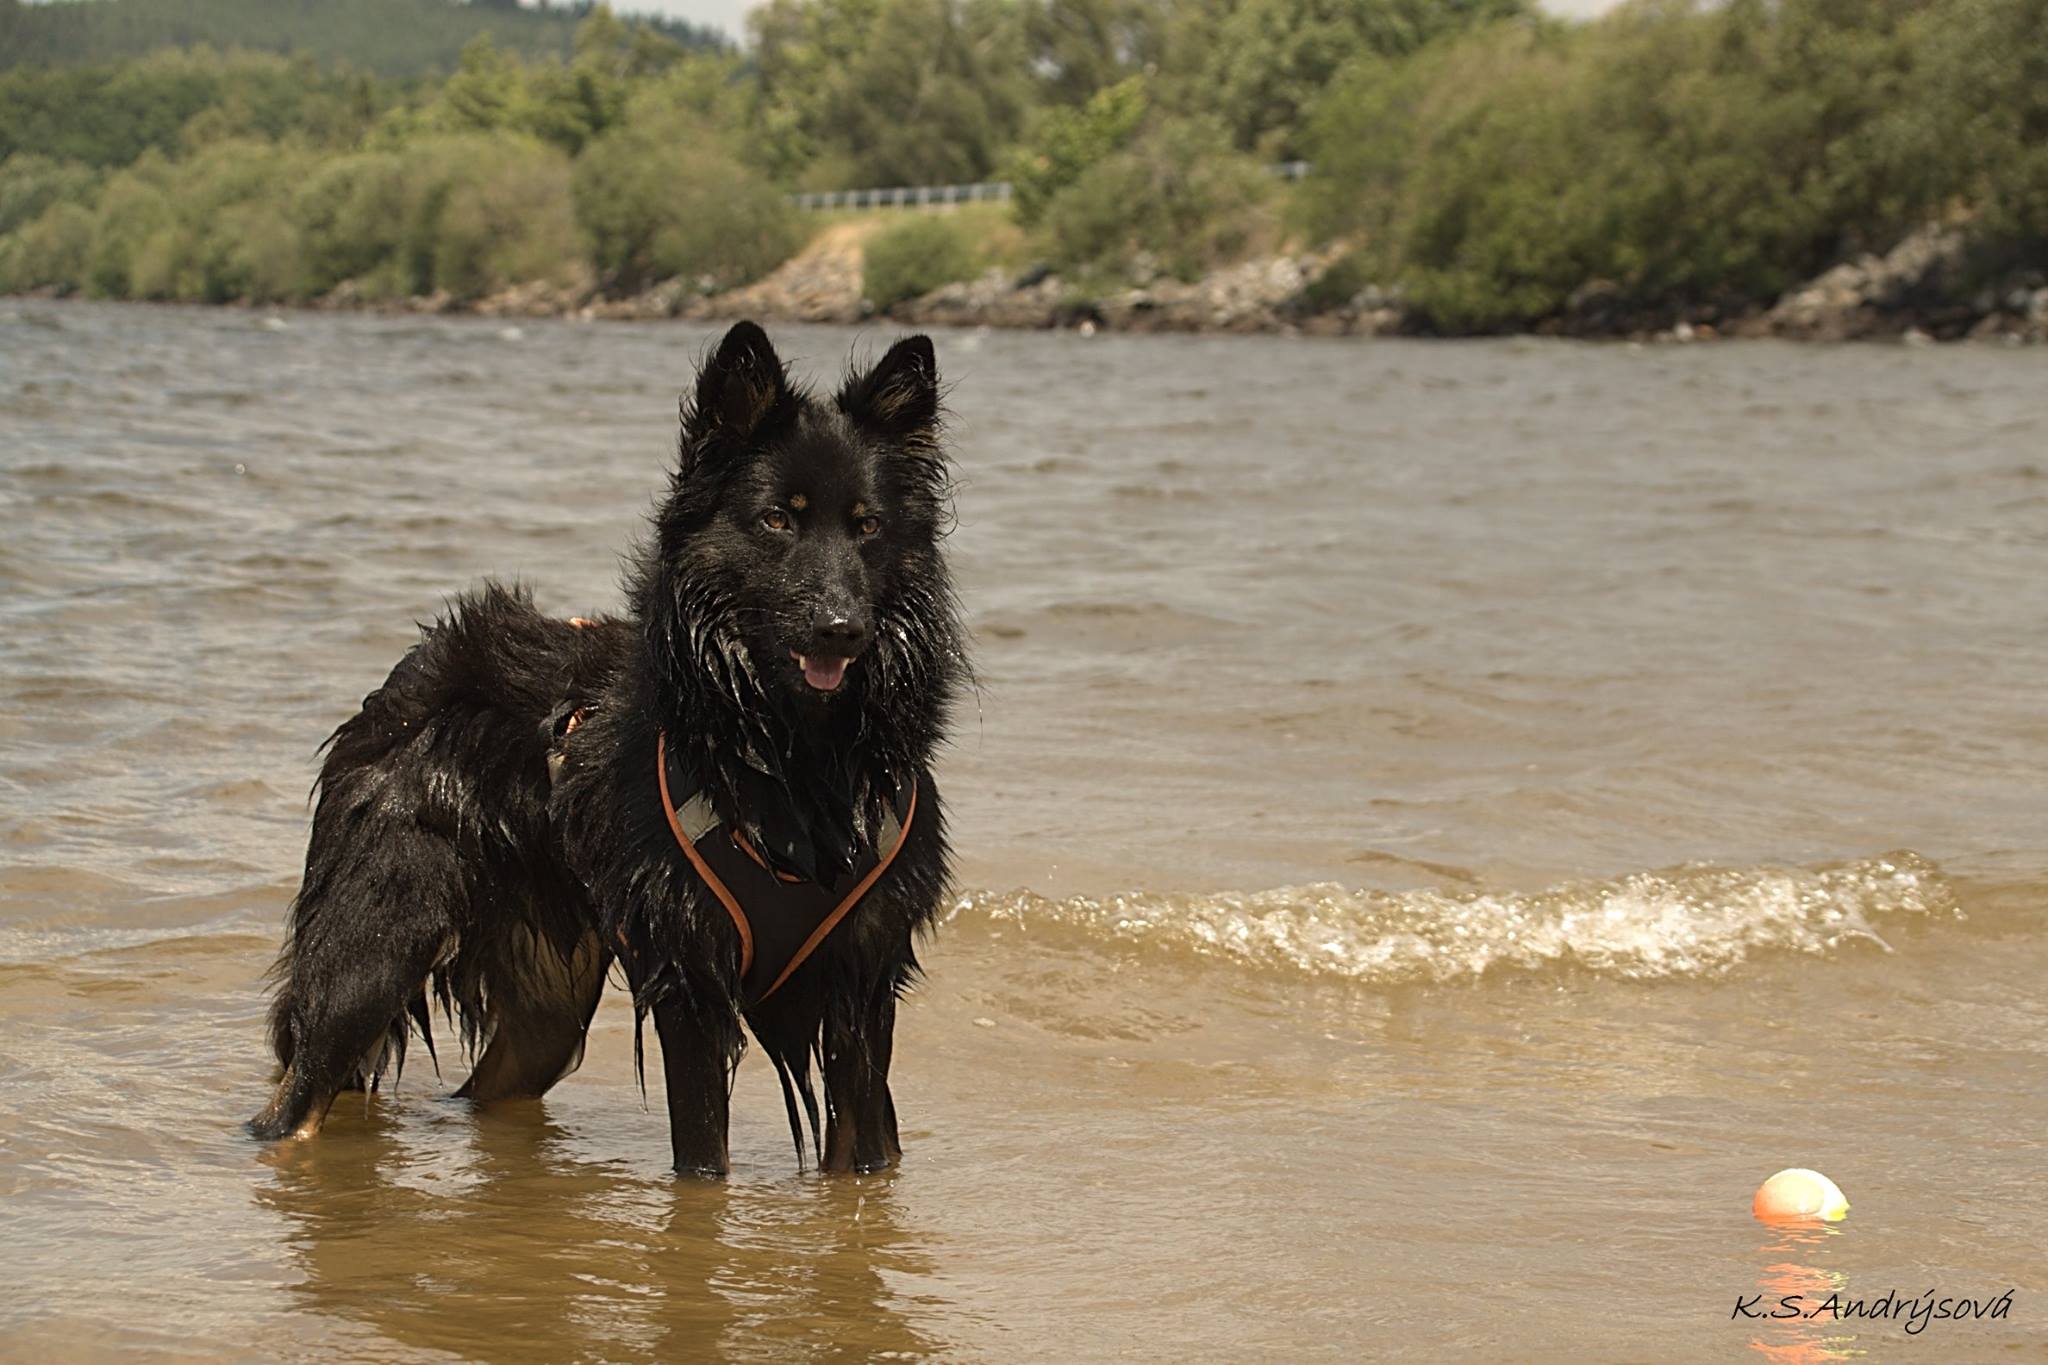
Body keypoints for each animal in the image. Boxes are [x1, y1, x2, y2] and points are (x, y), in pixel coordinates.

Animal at [249, 323, 966, 1178]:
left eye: (867, 526)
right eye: (777, 522)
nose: (841, 629)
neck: (792, 750)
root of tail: (411, 673)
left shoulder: (864, 975)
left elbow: (866, 1153)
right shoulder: (691, 979)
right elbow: (704, 1160)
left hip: (547, 1008)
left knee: (483, 1088)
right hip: (371, 951)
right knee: (294, 1097)